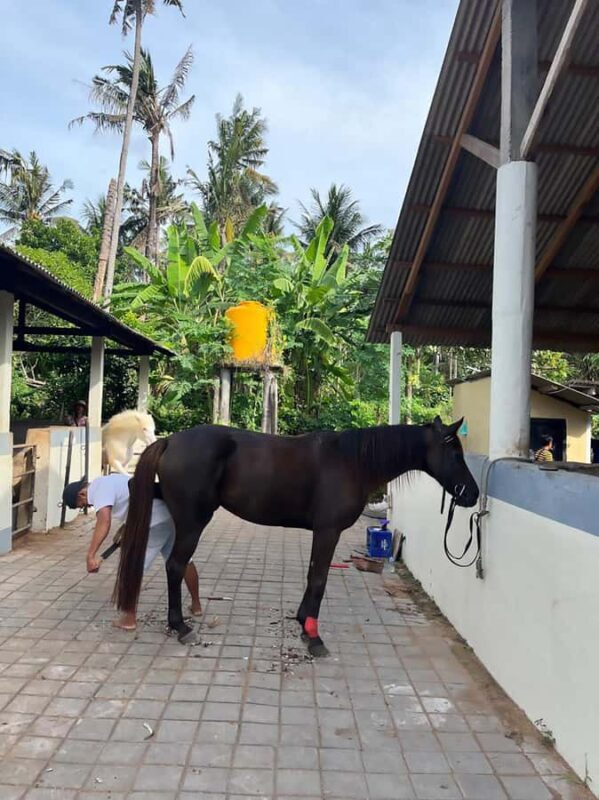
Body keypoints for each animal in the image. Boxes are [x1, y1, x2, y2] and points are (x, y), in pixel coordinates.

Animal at [114, 416, 479, 653]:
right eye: (455, 454)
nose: (472, 494)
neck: (352, 462)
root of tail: (170, 441)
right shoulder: (328, 531)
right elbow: (318, 579)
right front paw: (313, 638)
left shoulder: (322, 532)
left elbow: (312, 575)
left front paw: (304, 622)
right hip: (193, 523)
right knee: (175, 566)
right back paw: (180, 626)